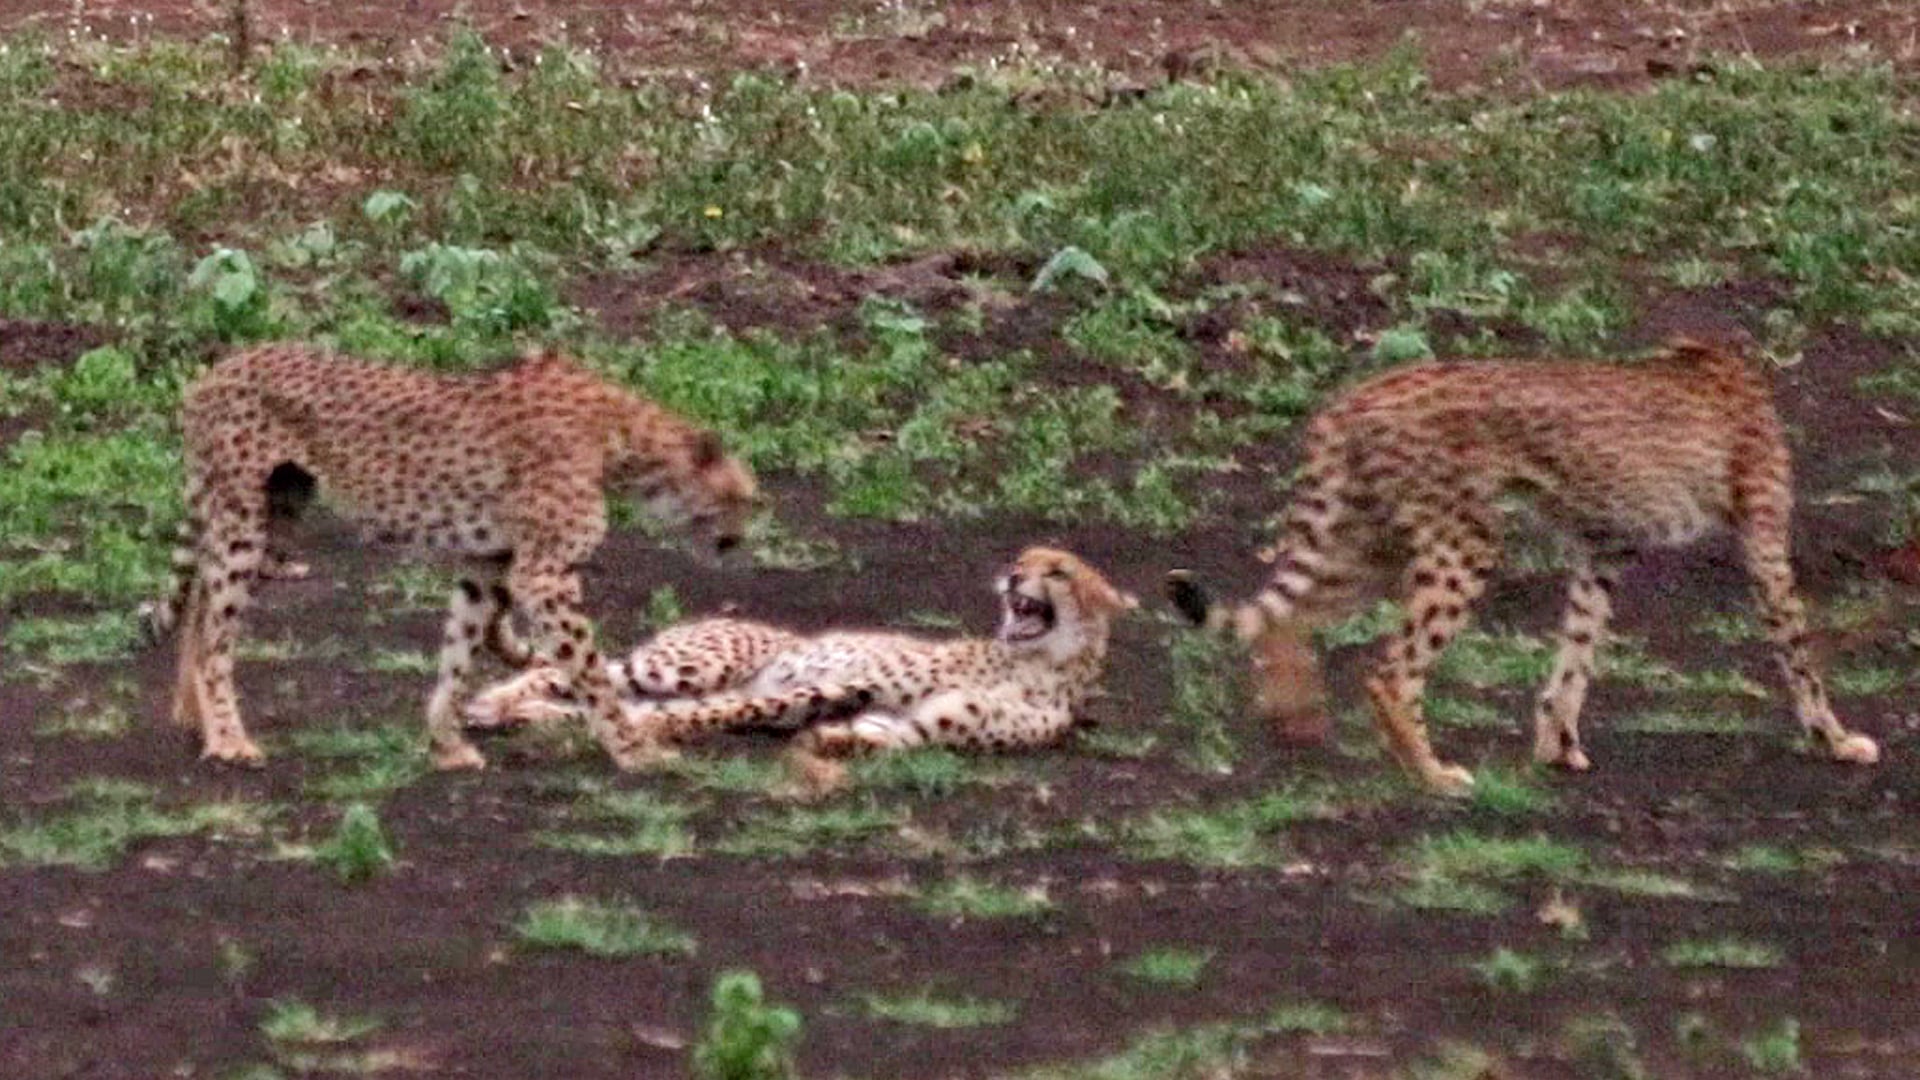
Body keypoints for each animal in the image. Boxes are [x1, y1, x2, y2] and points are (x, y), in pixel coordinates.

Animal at [141, 342, 757, 773]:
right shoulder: (544, 575)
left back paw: (194, 716)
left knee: (201, 599)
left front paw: (446, 741)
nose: (742, 537)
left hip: (276, 517)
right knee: (216, 629)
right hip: (245, 519)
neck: (620, 436)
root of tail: (217, 369)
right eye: (746, 498)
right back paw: (227, 737)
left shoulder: (489, 562)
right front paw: (632, 747)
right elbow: (586, 668)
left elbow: (461, 649)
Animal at [459, 547, 1136, 766]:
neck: (1039, 663)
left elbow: (882, 738)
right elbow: (743, 709)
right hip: (683, 666)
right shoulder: (849, 686)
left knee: (587, 700)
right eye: (1025, 555)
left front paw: (829, 742)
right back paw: (496, 701)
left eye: (1059, 570)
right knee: (573, 673)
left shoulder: (916, 724)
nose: (1012, 574)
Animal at [1165, 336, 1881, 796]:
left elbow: (1575, 656)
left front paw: (1555, 744)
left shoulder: (1602, 551)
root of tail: (1355, 393)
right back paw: (1431, 774)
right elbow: (1799, 653)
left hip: (1374, 545)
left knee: (1291, 617)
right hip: (1463, 544)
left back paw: (1296, 720)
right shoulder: (1763, 546)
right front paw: (1836, 738)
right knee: (1389, 671)